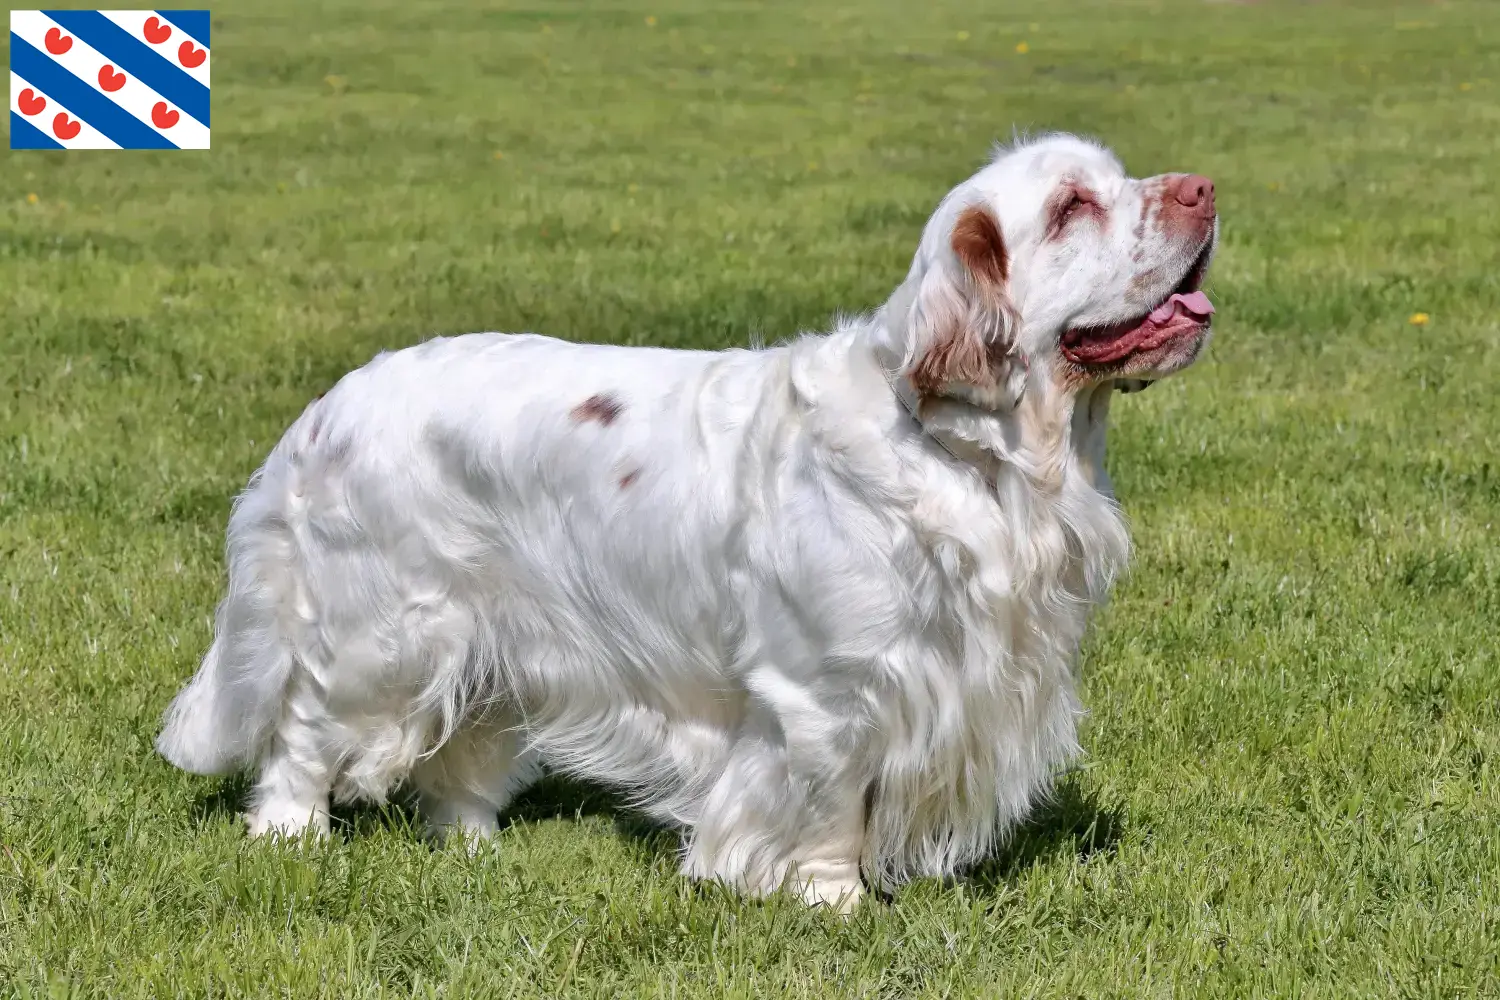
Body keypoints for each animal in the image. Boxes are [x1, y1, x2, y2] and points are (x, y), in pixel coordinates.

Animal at [158, 134, 1218, 917]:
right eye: (1073, 207)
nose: (1205, 189)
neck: (972, 455)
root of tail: (328, 406)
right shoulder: (825, 692)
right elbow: (832, 804)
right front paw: (833, 903)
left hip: (498, 635)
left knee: (462, 746)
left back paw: (472, 845)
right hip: (383, 631)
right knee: (303, 725)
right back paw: (289, 831)